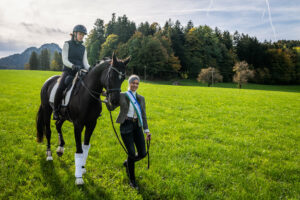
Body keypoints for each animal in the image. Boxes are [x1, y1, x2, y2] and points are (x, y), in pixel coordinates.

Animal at [35, 52, 129, 184]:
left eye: (123, 78)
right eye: (111, 76)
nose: (114, 102)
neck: (87, 94)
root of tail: (48, 81)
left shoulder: (91, 124)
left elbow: (85, 147)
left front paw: (82, 168)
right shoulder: (78, 125)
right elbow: (79, 149)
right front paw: (79, 177)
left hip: (63, 115)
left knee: (58, 125)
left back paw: (60, 149)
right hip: (47, 111)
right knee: (48, 131)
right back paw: (49, 155)